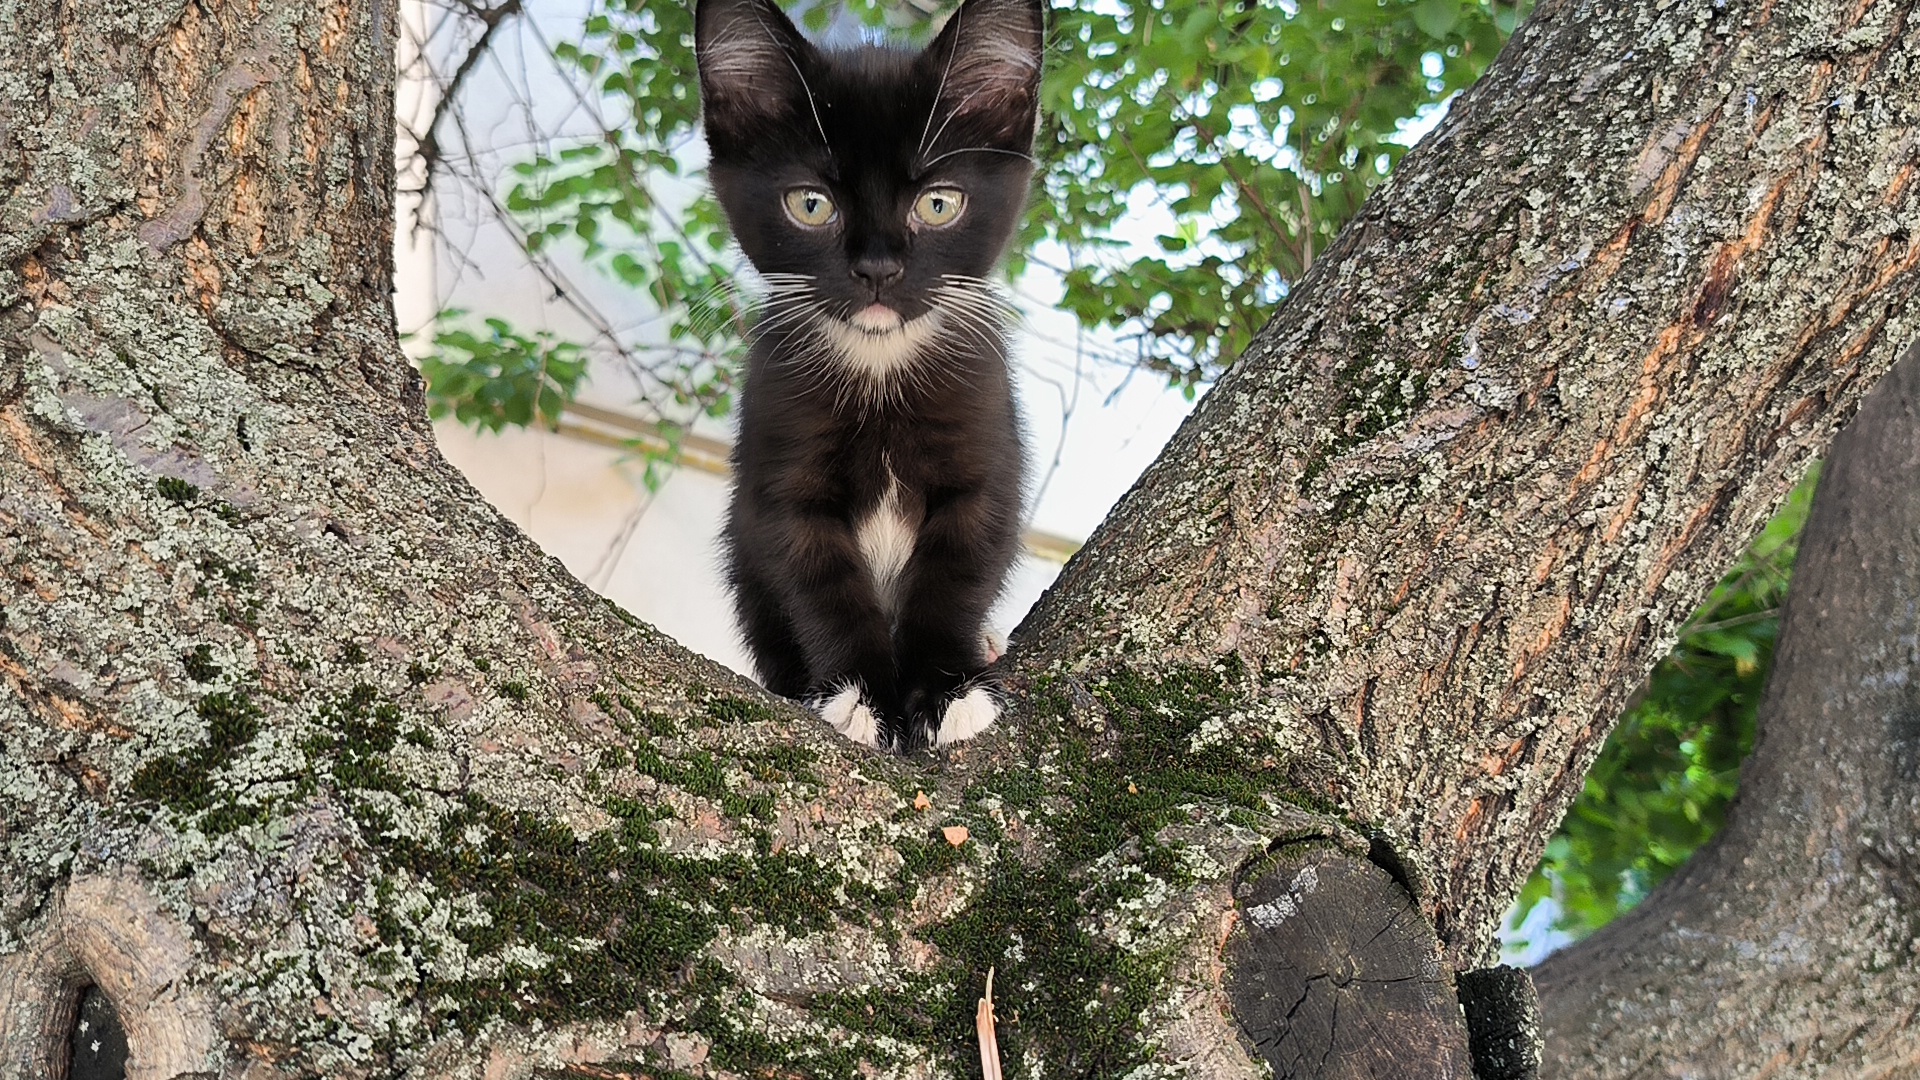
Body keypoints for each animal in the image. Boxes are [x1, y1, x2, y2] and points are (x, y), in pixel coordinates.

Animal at [698, 0, 1044, 749]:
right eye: (811, 204)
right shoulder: (779, 470)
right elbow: (820, 584)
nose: (878, 270)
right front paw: (860, 697)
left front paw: (948, 689)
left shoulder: (984, 449)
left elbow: (956, 575)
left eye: (939, 204)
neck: (880, 367)